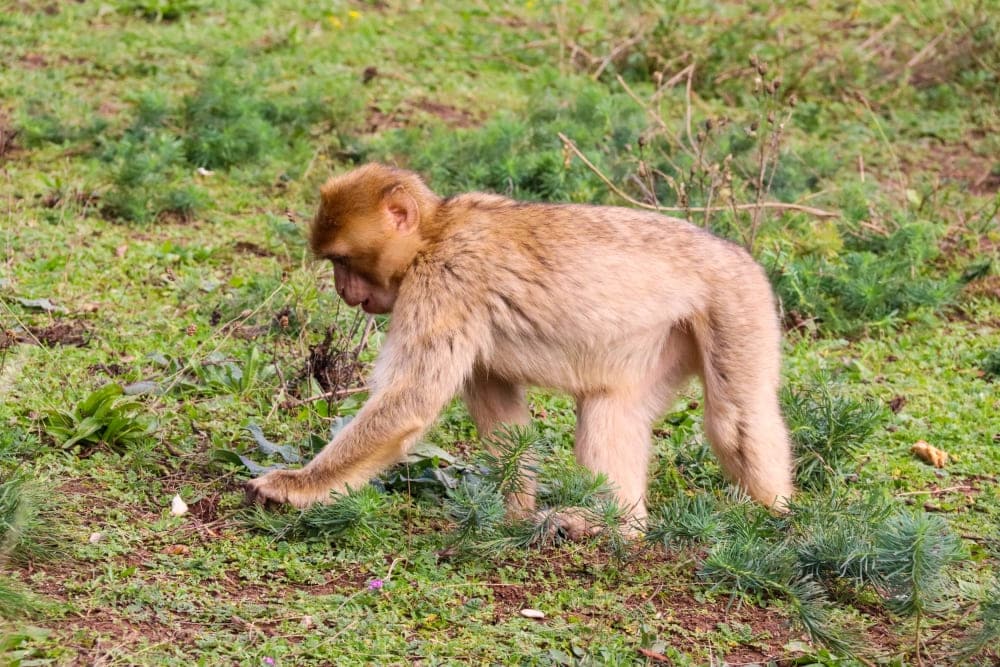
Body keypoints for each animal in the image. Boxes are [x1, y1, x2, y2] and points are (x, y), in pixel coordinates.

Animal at [246, 162, 792, 536]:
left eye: (342, 260)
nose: (342, 289)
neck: (433, 235)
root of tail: (741, 254)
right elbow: (500, 411)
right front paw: (514, 512)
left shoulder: (446, 282)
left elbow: (411, 400)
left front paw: (296, 486)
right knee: (612, 409)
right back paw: (617, 527)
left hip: (735, 305)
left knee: (734, 420)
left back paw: (778, 519)